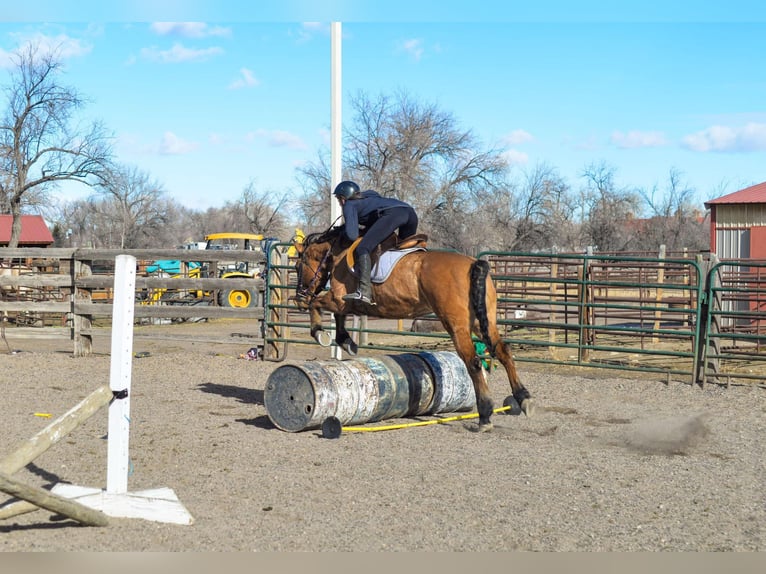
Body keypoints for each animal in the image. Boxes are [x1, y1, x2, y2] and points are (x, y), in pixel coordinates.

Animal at [292, 227, 536, 430]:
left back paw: (485, 415)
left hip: (456, 325)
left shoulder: (339, 299)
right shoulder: (343, 303)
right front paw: (346, 341)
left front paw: (320, 333)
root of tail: (472, 264)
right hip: (480, 321)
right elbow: (336, 314)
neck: (338, 253)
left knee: (474, 363)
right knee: (503, 352)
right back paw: (523, 398)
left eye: (297, 266)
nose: (299, 297)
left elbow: (319, 305)